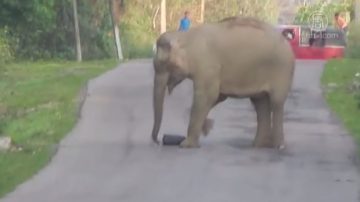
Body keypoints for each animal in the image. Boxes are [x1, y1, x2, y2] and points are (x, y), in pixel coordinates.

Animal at [150, 15, 294, 148]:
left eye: (164, 64)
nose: (158, 141)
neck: (186, 36)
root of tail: (286, 41)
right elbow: (218, 96)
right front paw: (205, 128)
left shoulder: (207, 65)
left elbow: (208, 96)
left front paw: (186, 144)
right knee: (261, 103)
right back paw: (258, 145)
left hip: (282, 70)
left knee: (276, 102)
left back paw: (278, 146)